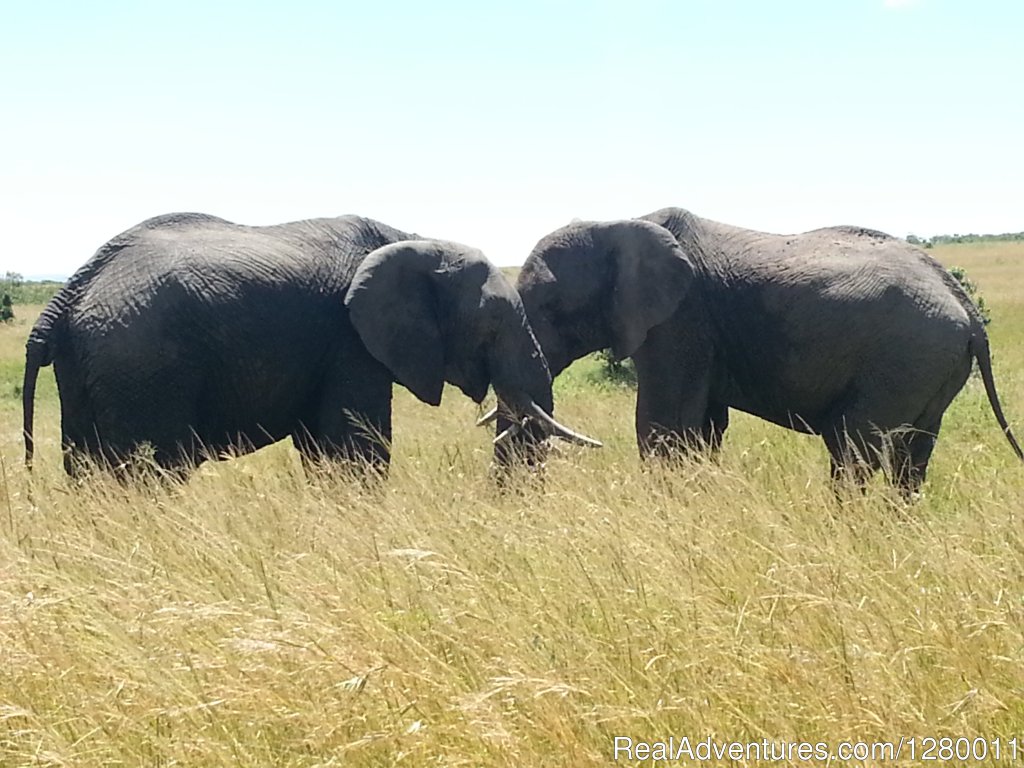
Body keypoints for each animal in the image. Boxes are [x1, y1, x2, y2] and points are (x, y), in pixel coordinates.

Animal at [22, 214, 598, 479]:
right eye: (493, 327)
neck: (417, 239)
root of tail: (68, 293)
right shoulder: (350, 341)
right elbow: (355, 451)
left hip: (92, 367)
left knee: (86, 471)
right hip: (143, 365)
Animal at [491, 205, 1019, 493]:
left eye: (549, 307)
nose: (524, 499)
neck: (619, 222)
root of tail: (968, 310)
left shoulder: (680, 321)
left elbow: (662, 423)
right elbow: (703, 426)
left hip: (902, 361)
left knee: (853, 446)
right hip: (928, 367)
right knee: (912, 457)